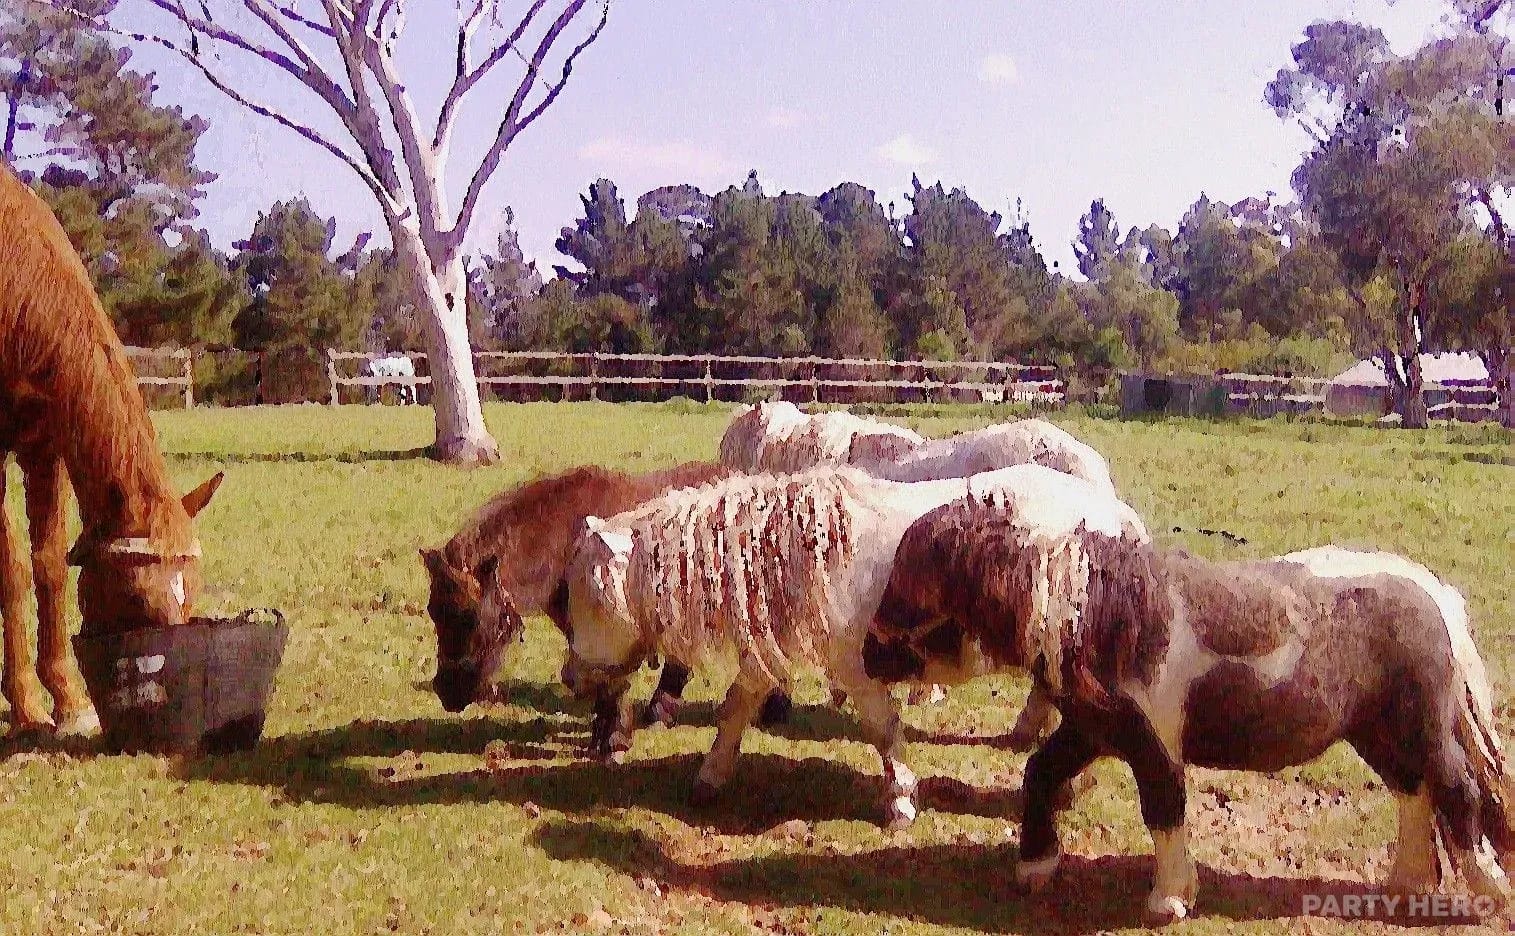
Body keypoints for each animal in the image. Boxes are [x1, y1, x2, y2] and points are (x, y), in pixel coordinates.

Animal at [0, 161, 224, 736]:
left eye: (191, 590)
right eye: (137, 599)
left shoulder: (43, 450)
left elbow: (49, 565)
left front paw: (67, 699)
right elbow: (13, 571)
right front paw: (27, 705)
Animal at [421, 462, 794, 757]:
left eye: (468, 616)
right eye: (433, 612)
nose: (446, 692)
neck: (561, 542)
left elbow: (610, 682)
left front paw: (614, 739)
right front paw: (604, 735)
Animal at [559, 463, 1150, 828]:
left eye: (587, 594)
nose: (570, 677)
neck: (800, 548)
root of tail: (1116, 514)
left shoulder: (856, 671)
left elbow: (884, 730)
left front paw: (902, 801)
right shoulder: (770, 655)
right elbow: (737, 707)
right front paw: (711, 776)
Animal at [865, 507, 1513, 921]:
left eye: (909, 584)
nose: (869, 653)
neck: (1103, 619)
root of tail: (1435, 593)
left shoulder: (1154, 742)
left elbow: (1163, 808)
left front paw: (1171, 898)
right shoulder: (1092, 730)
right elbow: (1040, 774)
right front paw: (1036, 866)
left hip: (1418, 727)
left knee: (1455, 790)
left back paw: (1486, 893)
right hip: (1375, 733)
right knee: (1414, 792)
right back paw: (1406, 885)